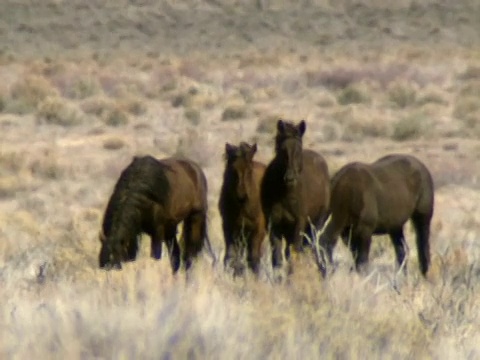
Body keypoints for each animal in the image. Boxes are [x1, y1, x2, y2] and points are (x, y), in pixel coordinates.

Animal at [219, 142, 268, 278]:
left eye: (249, 170)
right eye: (232, 170)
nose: (241, 196)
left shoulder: (257, 230)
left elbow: (253, 258)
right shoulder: (229, 228)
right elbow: (230, 256)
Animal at [260, 119, 332, 272]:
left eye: (298, 150)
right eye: (281, 150)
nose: (290, 178)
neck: (284, 193)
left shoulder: (299, 223)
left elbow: (295, 253)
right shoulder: (273, 225)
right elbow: (277, 258)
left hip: (315, 225)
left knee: (310, 248)